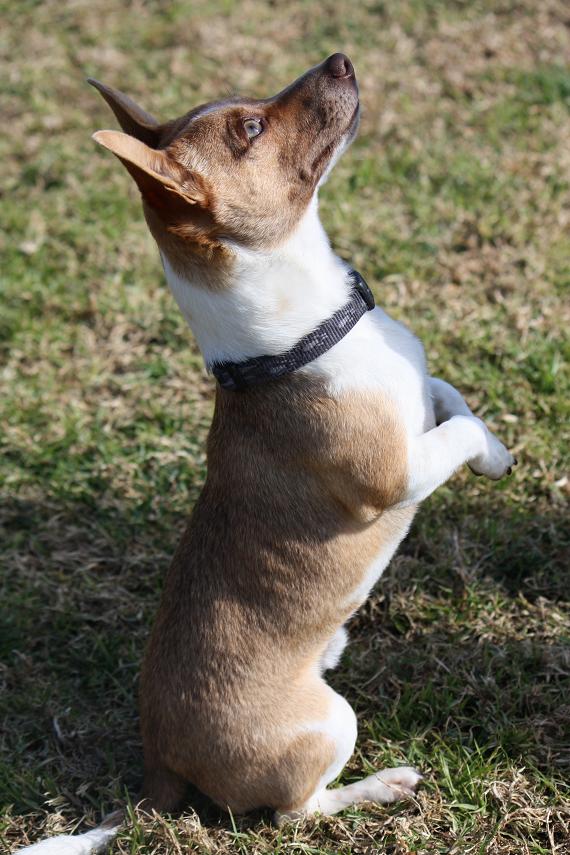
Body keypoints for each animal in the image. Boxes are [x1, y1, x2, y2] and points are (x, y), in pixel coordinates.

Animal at [19, 53, 516, 853]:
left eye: (248, 103)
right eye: (251, 129)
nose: (338, 58)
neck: (300, 335)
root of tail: (159, 768)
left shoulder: (421, 392)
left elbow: (453, 399)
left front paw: (497, 455)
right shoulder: (396, 474)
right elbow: (454, 431)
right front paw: (489, 453)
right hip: (329, 723)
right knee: (295, 812)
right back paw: (379, 787)